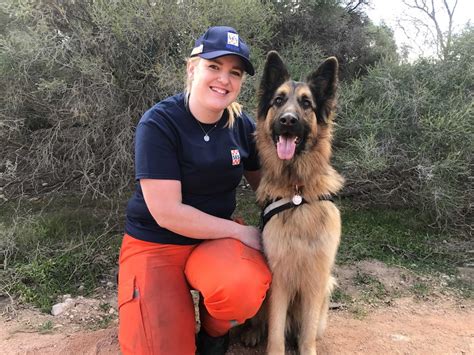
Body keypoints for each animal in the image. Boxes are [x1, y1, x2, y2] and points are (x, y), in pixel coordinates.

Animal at [243, 52, 342, 355]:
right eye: (278, 100)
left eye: (306, 103)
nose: (288, 120)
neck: (297, 190)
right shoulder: (279, 278)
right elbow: (275, 330)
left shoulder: (315, 279)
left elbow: (307, 334)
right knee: (260, 322)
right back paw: (252, 332)